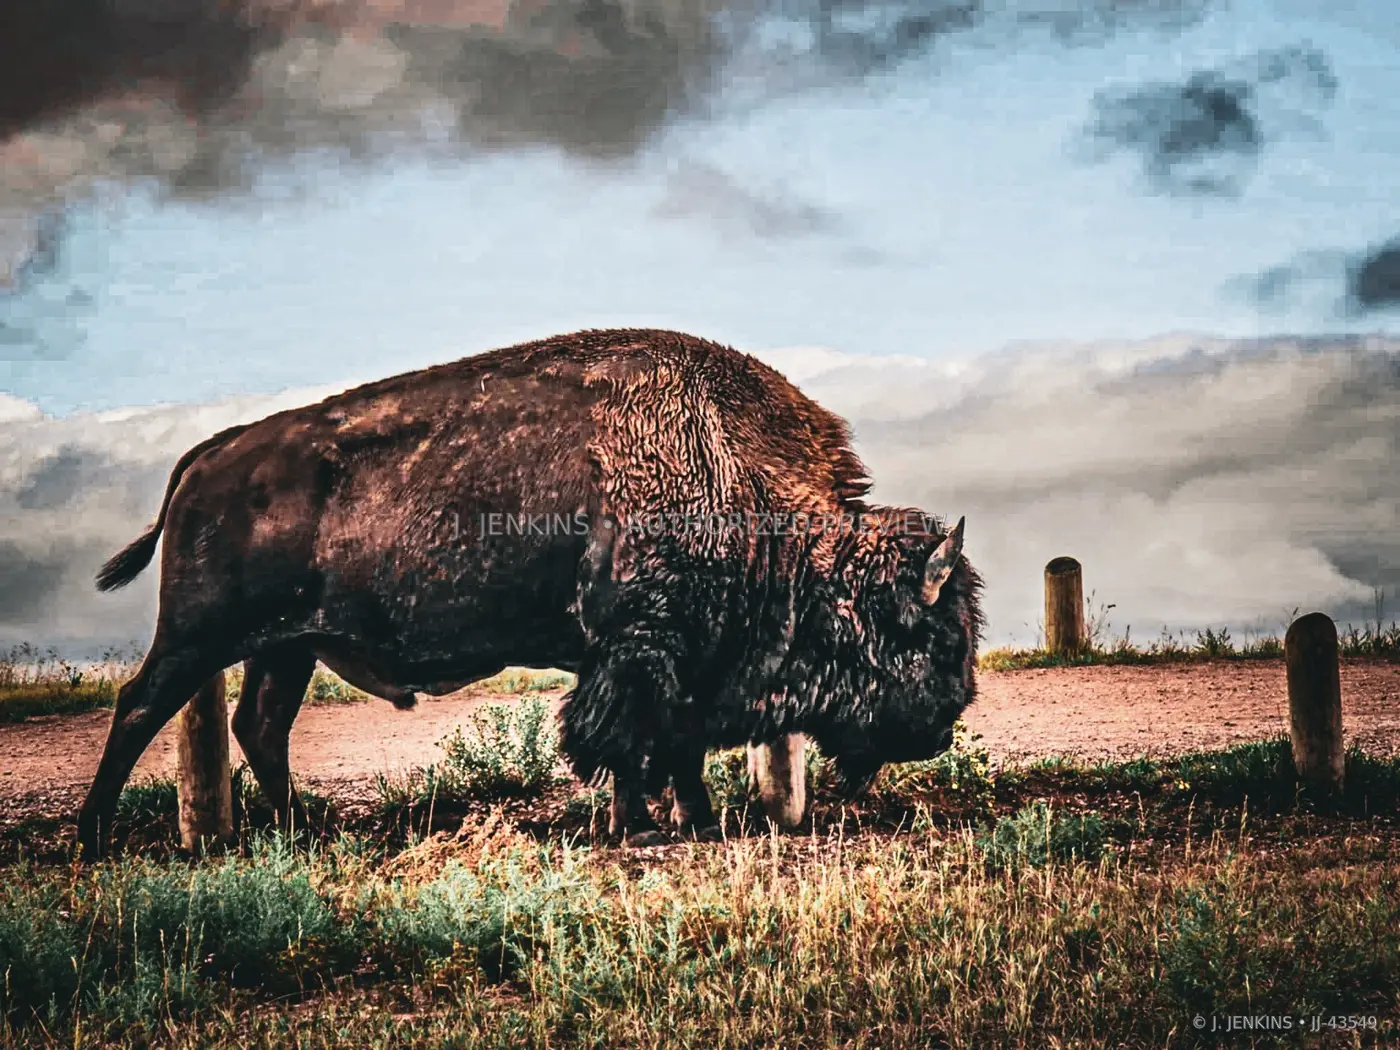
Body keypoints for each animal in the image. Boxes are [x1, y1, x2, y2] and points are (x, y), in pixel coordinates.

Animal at [79, 328, 982, 855]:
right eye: (927, 631)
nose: (943, 724)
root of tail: (215, 450)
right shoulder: (638, 653)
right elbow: (630, 741)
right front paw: (642, 827)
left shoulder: (682, 663)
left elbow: (677, 745)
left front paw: (689, 819)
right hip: (199, 635)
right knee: (140, 707)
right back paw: (94, 838)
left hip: (287, 647)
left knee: (259, 726)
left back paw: (307, 830)